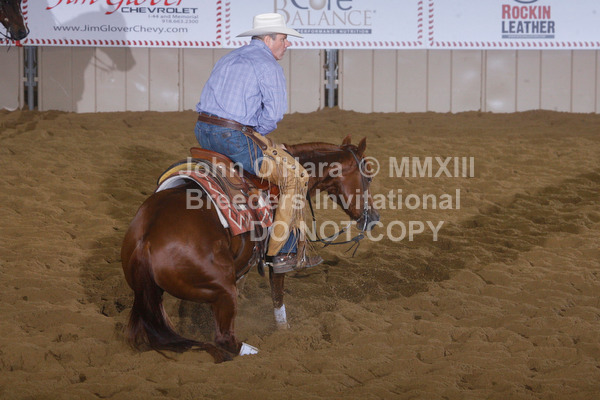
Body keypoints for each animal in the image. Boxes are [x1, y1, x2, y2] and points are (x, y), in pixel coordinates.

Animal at [121, 135, 380, 363]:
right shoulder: (276, 258)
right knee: (225, 340)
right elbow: (278, 295)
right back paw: (254, 351)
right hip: (223, 289)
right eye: (368, 177)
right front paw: (285, 333)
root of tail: (146, 241)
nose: (374, 218)